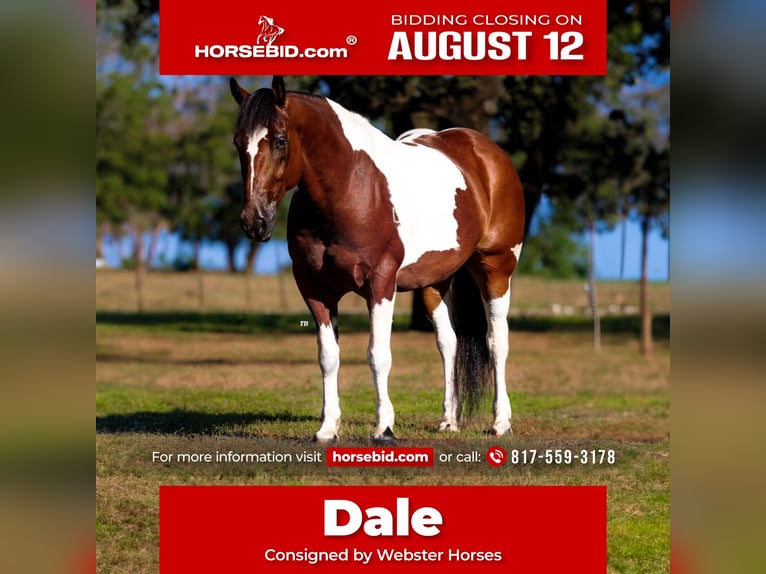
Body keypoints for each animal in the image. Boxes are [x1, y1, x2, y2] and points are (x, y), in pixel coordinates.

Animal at [230, 76, 528, 446]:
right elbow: (328, 357)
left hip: (496, 268)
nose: (254, 221)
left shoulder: (381, 283)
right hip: (434, 282)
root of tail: (486, 152)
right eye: (238, 142)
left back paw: (501, 422)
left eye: (280, 139)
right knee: (449, 343)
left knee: (496, 341)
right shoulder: (315, 290)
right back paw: (449, 420)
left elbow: (378, 355)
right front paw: (327, 428)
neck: (350, 190)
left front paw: (384, 428)